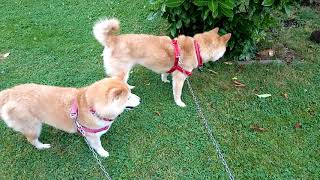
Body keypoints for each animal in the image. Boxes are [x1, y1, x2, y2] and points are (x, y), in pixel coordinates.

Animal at [0, 76, 140, 158]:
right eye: (128, 98)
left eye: (131, 92)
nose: (140, 100)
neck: (92, 108)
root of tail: (9, 92)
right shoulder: (92, 137)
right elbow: (98, 145)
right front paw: (103, 153)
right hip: (34, 126)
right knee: (32, 140)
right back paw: (43, 146)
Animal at [92, 17, 230, 107]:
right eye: (224, 49)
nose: (224, 56)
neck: (197, 48)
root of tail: (112, 40)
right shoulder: (179, 78)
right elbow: (177, 93)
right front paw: (179, 103)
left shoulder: (170, 68)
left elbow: (164, 73)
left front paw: (164, 80)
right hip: (122, 71)